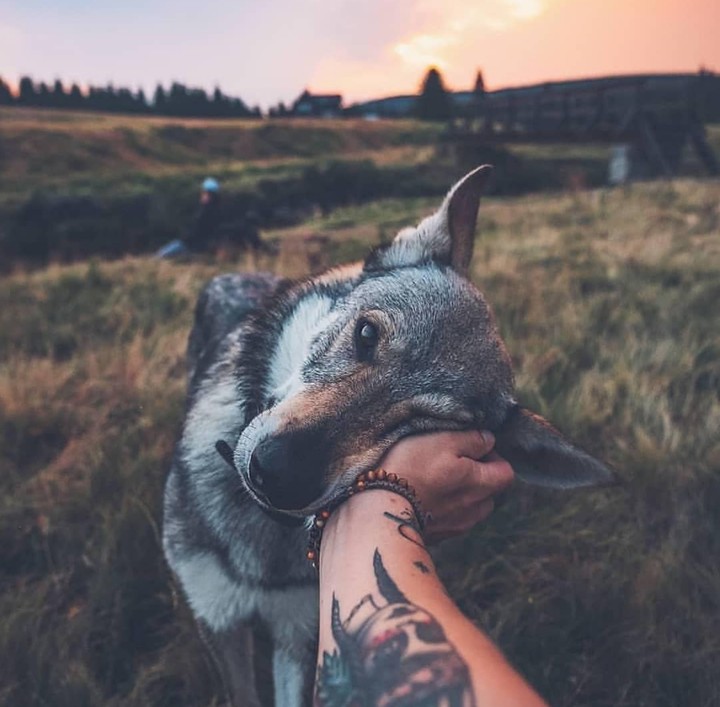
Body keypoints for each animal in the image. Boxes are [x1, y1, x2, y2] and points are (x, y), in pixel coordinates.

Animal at [162, 165, 614, 707]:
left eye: (422, 425)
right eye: (366, 335)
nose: (278, 474)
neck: (264, 534)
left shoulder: (296, 632)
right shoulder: (220, 622)